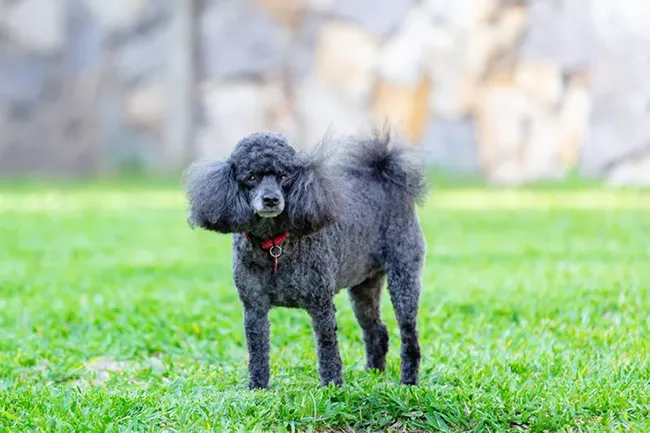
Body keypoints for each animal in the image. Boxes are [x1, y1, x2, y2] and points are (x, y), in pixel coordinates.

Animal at [182, 131, 426, 388]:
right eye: (251, 177)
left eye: (282, 176)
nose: (270, 199)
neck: (274, 244)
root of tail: (384, 175)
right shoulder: (254, 306)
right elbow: (257, 349)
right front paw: (258, 387)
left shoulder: (321, 304)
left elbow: (327, 347)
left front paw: (332, 386)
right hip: (364, 287)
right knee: (376, 330)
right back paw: (373, 374)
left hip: (404, 276)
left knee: (409, 335)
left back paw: (408, 382)